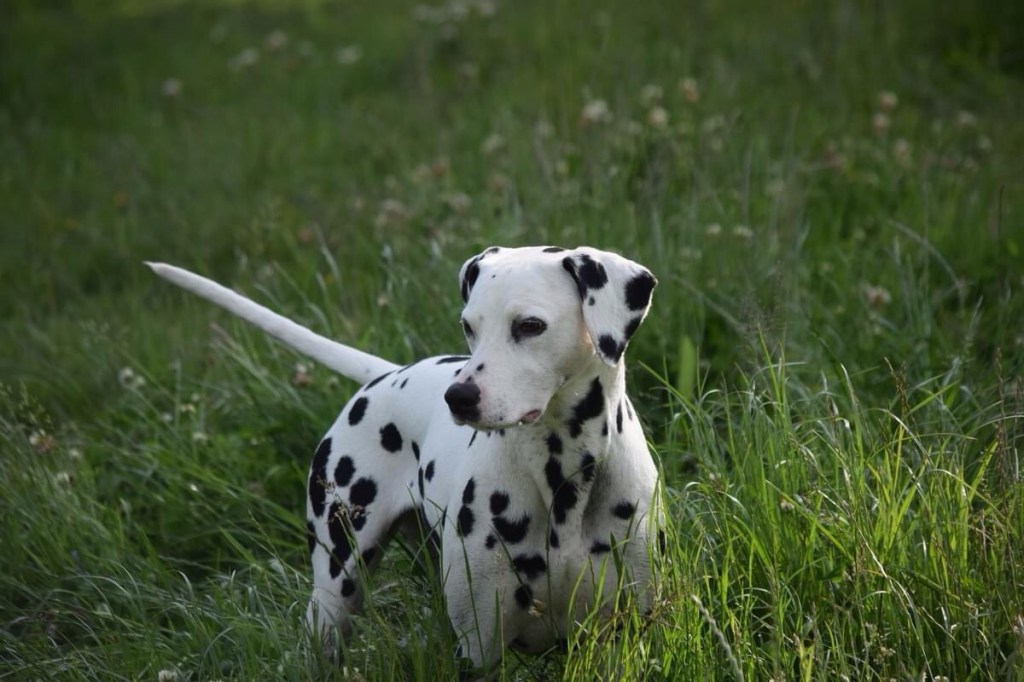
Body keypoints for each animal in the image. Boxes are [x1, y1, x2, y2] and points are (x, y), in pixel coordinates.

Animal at [148, 245, 661, 672]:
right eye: (469, 326)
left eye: (530, 325)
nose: (458, 396)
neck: (563, 476)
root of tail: (387, 374)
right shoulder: (479, 648)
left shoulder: (626, 629)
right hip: (336, 586)